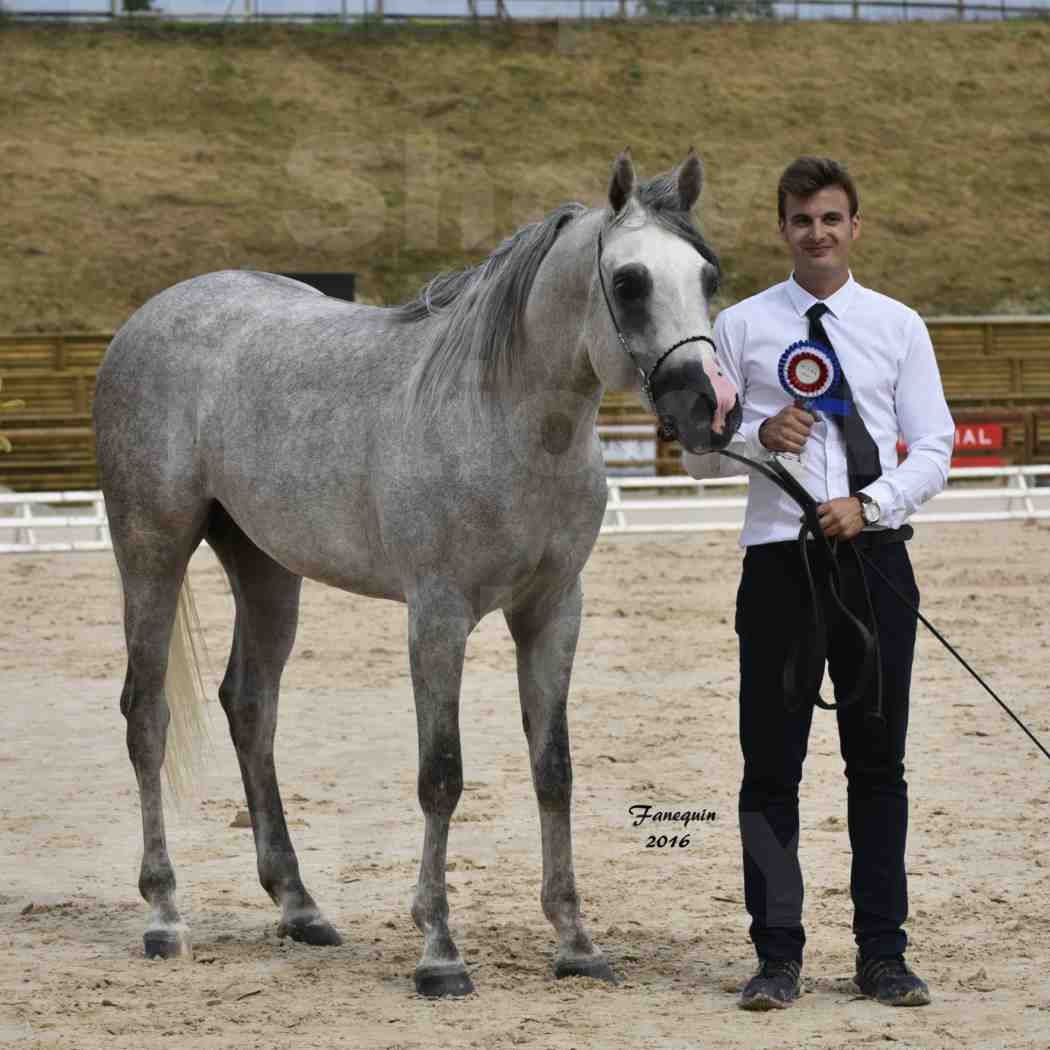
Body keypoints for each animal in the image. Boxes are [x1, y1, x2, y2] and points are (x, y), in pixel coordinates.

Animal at [94, 145, 743, 991]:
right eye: (630, 281)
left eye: (708, 275)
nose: (713, 409)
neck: (500, 419)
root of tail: (147, 319)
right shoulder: (437, 616)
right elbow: (441, 773)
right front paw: (439, 950)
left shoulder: (553, 612)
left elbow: (554, 770)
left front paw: (575, 942)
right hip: (152, 550)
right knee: (147, 714)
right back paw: (164, 913)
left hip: (266, 569)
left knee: (250, 708)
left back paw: (299, 906)